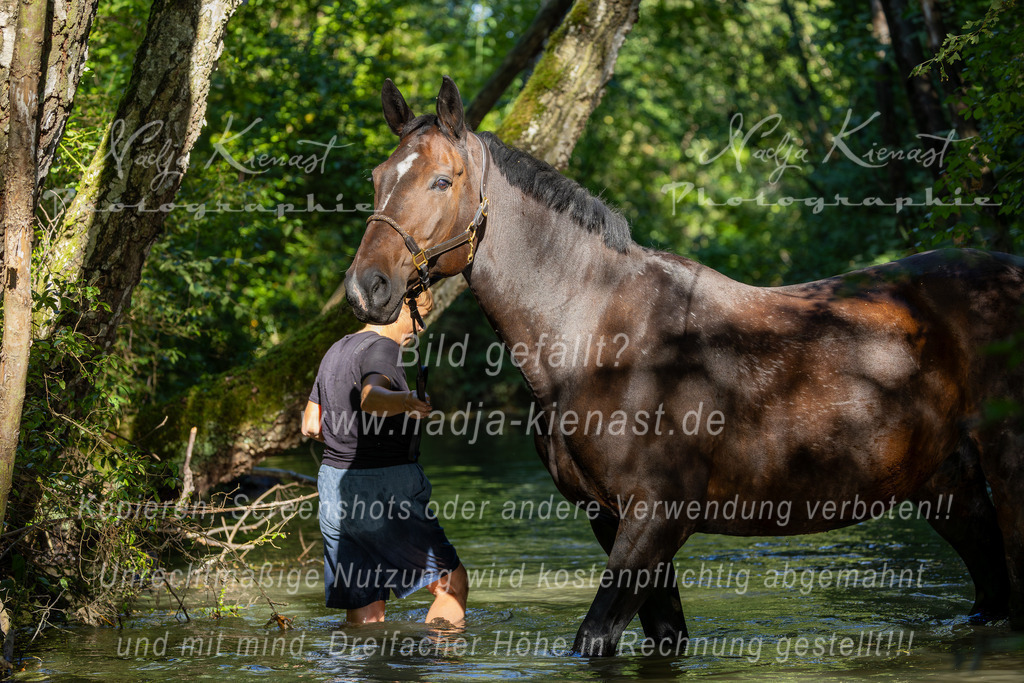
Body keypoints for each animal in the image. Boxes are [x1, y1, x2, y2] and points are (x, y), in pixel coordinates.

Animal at [344, 76, 1024, 656]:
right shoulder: (612, 520)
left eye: (442, 179)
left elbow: (594, 638)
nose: (365, 288)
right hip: (949, 489)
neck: (594, 334)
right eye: (377, 177)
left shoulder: (655, 520)